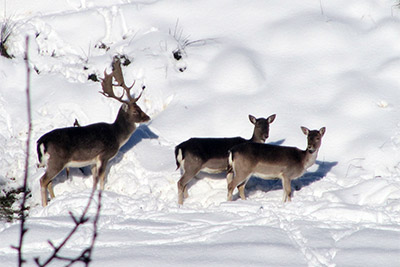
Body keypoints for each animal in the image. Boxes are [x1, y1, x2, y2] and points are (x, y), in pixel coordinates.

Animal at [36, 58, 150, 208]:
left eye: (140, 107)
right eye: (136, 111)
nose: (147, 117)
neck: (116, 136)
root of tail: (41, 141)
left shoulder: (93, 161)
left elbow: (95, 179)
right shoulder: (103, 155)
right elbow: (101, 178)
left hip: (49, 162)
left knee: (48, 181)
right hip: (57, 160)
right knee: (43, 180)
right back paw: (44, 206)